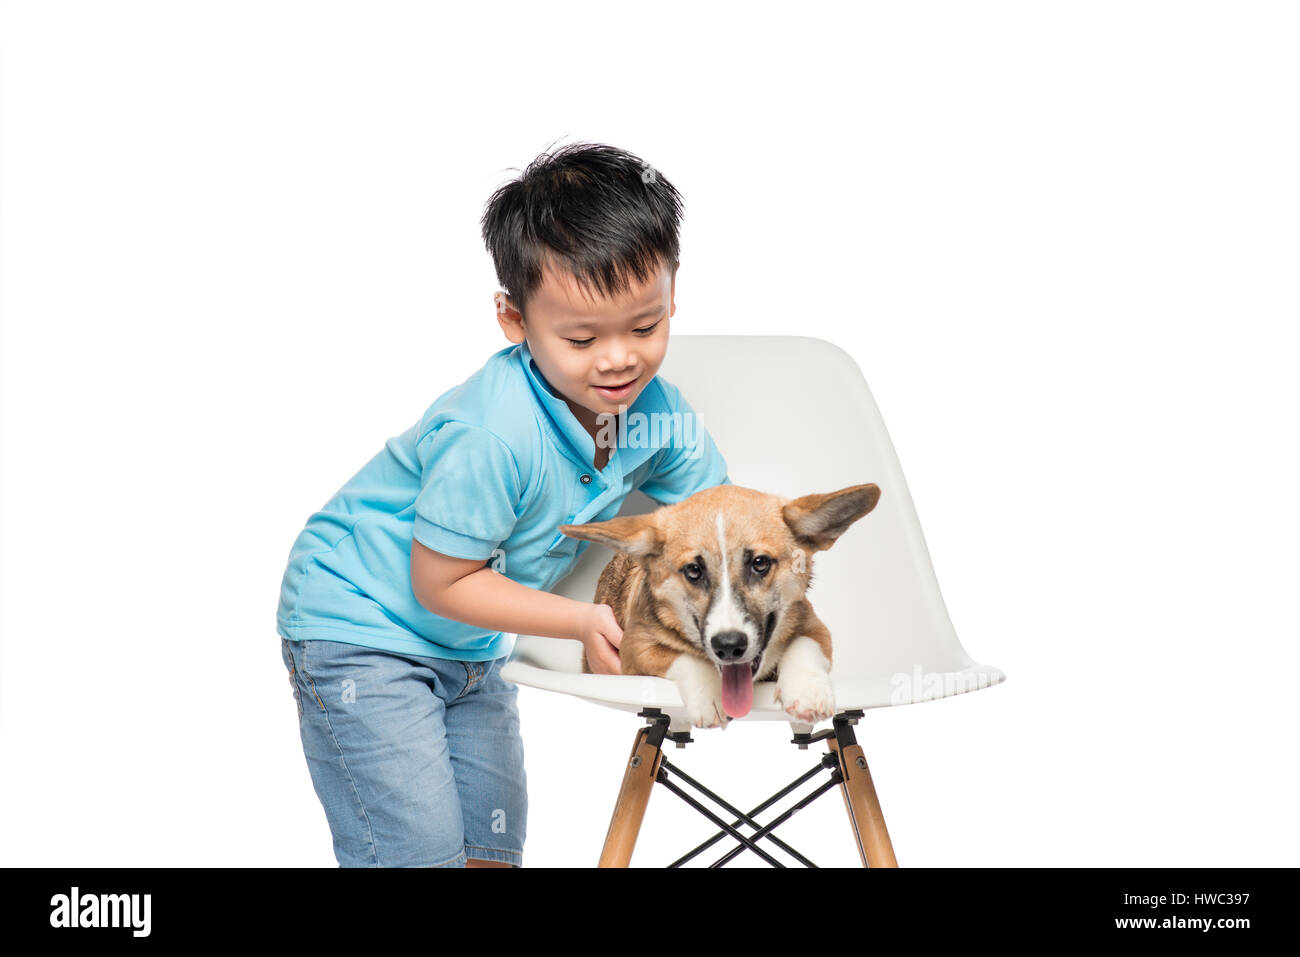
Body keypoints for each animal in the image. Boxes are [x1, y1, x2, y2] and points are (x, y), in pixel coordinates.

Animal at [561, 481, 883, 728]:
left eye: (760, 563)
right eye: (693, 570)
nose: (728, 646)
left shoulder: (816, 627)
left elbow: (804, 645)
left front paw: (808, 690)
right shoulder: (635, 649)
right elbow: (684, 657)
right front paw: (710, 696)